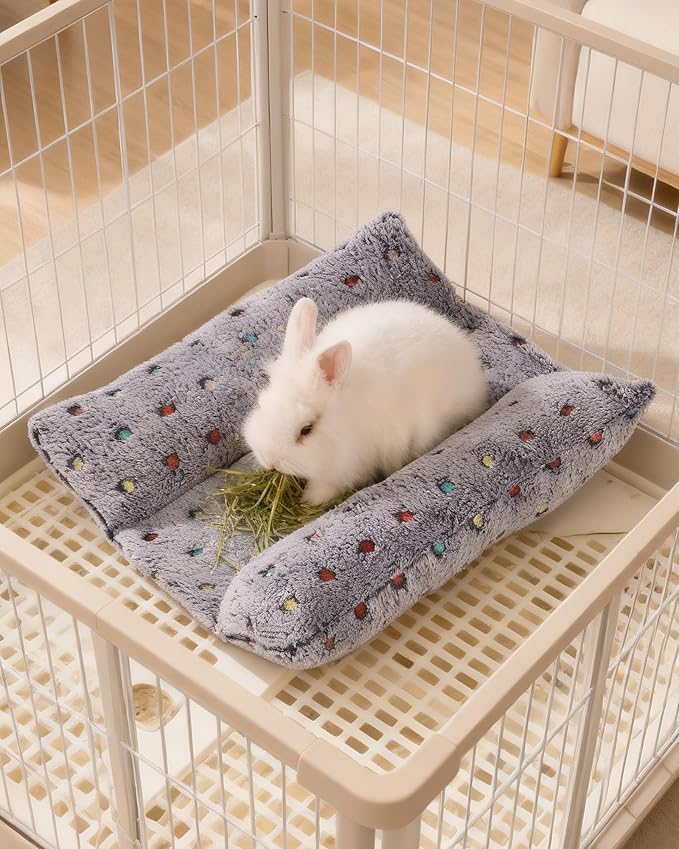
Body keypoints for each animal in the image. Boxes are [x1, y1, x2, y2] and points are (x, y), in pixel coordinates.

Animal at [243, 297, 488, 505]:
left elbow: (325, 487)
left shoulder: (346, 467)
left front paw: (309, 500)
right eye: (262, 403)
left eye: (306, 430)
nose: (269, 460)